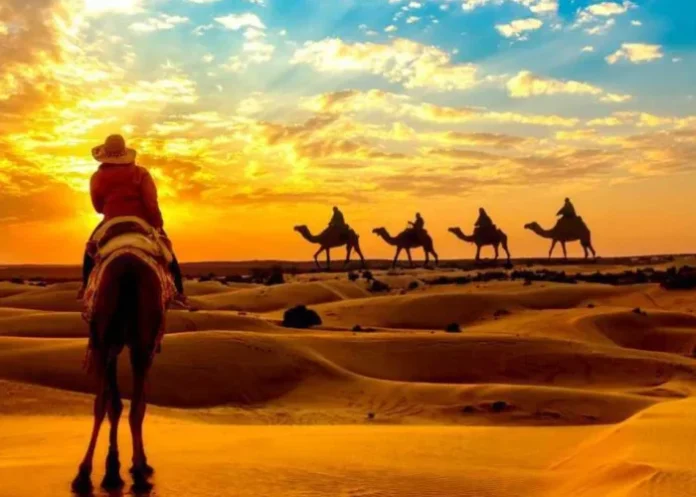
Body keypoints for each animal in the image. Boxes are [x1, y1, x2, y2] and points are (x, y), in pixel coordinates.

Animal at [72, 254, 164, 494]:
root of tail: (128, 270)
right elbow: (130, 403)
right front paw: (123, 466)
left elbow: (114, 403)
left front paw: (113, 469)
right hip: (135, 344)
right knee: (131, 405)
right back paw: (138, 474)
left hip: (107, 341)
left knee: (104, 401)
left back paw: (84, 474)